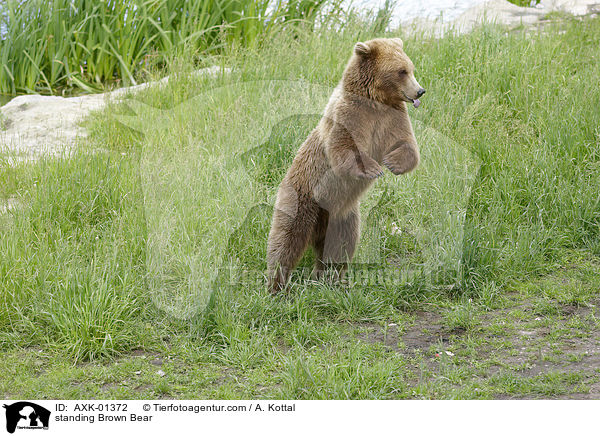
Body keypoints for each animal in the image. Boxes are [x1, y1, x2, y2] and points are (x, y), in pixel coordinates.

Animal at [264, 38, 424, 292]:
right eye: (402, 71)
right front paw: (374, 168)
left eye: (411, 67)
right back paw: (277, 285)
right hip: (302, 199)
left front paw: (392, 162)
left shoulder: (392, 118)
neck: (376, 102)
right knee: (286, 239)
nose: (419, 91)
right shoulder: (350, 114)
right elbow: (343, 148)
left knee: (340, 245)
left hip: (344, 216)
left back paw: (332, 277)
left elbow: (407, 144)